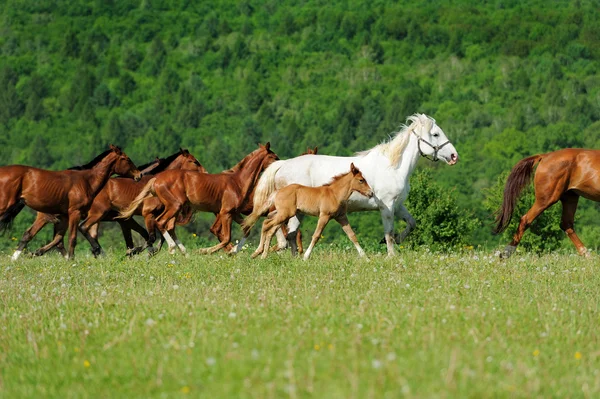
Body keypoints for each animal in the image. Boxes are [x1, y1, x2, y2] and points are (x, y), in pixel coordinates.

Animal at [0, 145, 141, 260]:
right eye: (127, 159)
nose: (138, 175)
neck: (86, 181)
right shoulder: (75, 213)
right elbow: (72, 238)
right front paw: (72, 260)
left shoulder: (64, 216)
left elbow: (59, 239)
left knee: (30, 235)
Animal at [122, 144, 282, 256]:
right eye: (274, 157)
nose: (281, 165)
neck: (237, 181)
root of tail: (156, 179)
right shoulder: (226, 213)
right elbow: (226, 237)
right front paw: (207, 251)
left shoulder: (234, 213)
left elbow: (246, 230)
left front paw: (234, 251)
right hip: (175, 206)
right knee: (161, 222)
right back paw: (173, 249)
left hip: (174, 208)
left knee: (168, 226)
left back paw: (182, 251)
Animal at [241, 113, 458, 256]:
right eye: (436, 134)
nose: (454, 156)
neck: (393, 167)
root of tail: (283, 165)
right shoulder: (387, 207)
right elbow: (388, 232)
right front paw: (391, 255)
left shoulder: (398, 206)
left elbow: (411, 224)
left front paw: (397, 240)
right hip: (292, 210)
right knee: (280, 228)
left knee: (288, 232)